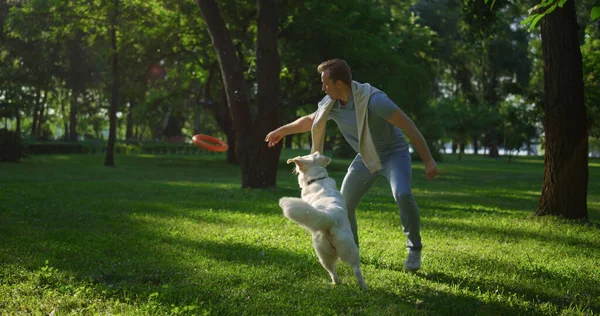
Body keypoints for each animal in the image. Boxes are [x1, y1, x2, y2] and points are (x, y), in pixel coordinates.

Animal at [280, 152, 368, 290]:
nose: (294, 169)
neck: (318, 179)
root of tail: (329, 216)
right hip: (338, 251)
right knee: (349, 269)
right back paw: (353, 285)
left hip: (333, 252)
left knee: (343, 270)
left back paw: (349, 284)